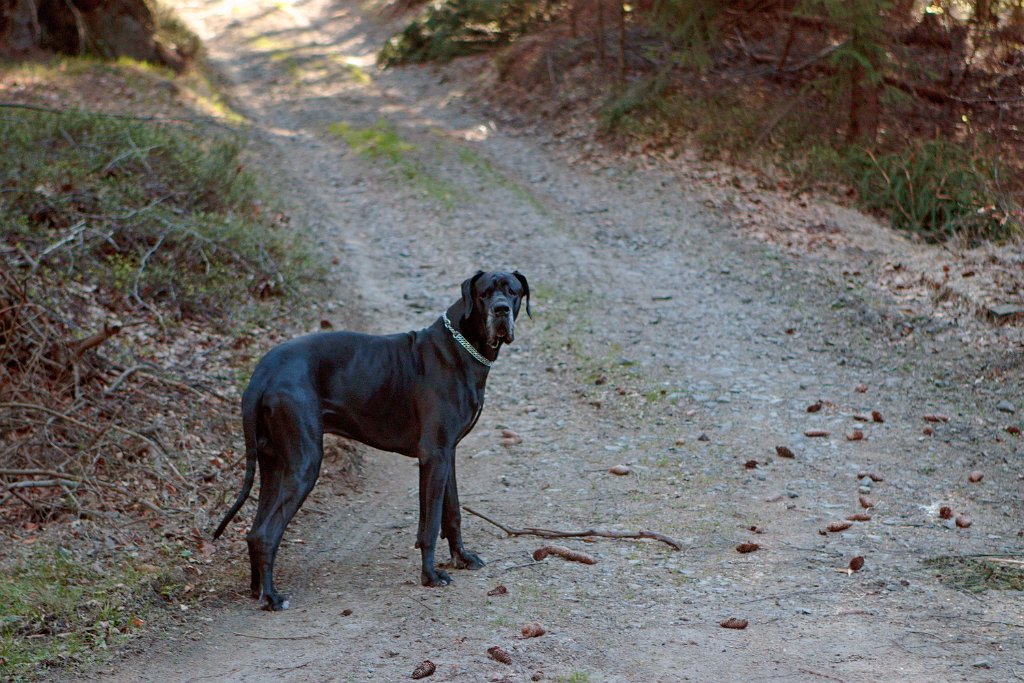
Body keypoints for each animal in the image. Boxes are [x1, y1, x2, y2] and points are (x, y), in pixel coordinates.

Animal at [212, 270, 532, 610]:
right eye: (485, 294)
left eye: (512, 291)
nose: (501, 309)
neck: (461, 347)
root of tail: (262, 371)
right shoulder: (434, 454)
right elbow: (430, 523)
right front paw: (430, 575)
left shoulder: (448, 453)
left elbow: (452, 512)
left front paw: (461, 557)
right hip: (303, 464)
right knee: (266, 533)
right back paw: (272, 597)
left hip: (273, 463)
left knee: (254, 530)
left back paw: (257, 589)